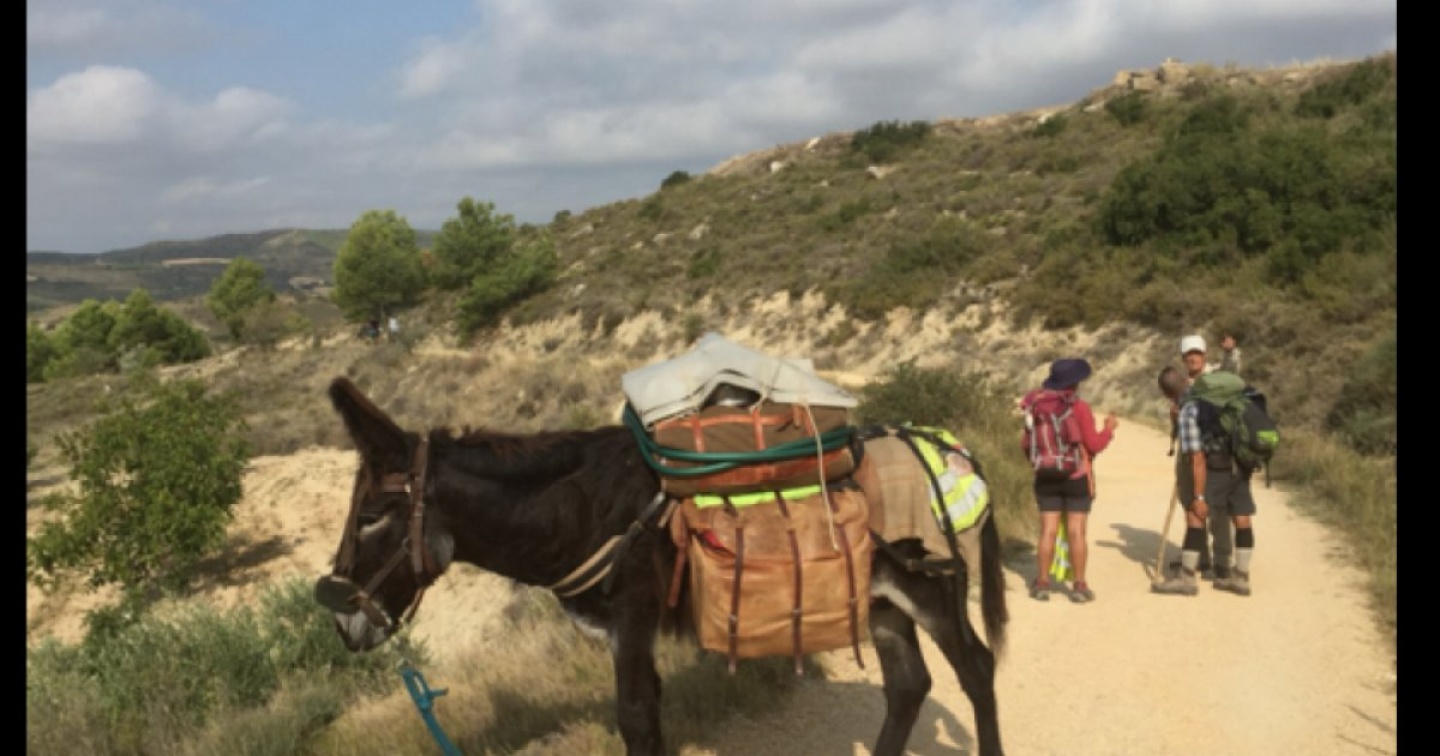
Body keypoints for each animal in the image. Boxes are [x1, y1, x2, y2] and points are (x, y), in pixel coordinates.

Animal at [314, 376, 1008, 756]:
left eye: (372, 516)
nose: (339, 616)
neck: (586, 506)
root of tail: (949, 446)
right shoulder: (628, 633)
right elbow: (649, 715)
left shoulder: (634, 615)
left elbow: (637, 722)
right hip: (883, 597)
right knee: (910, 684)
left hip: (933, 585)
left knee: (975, 668)